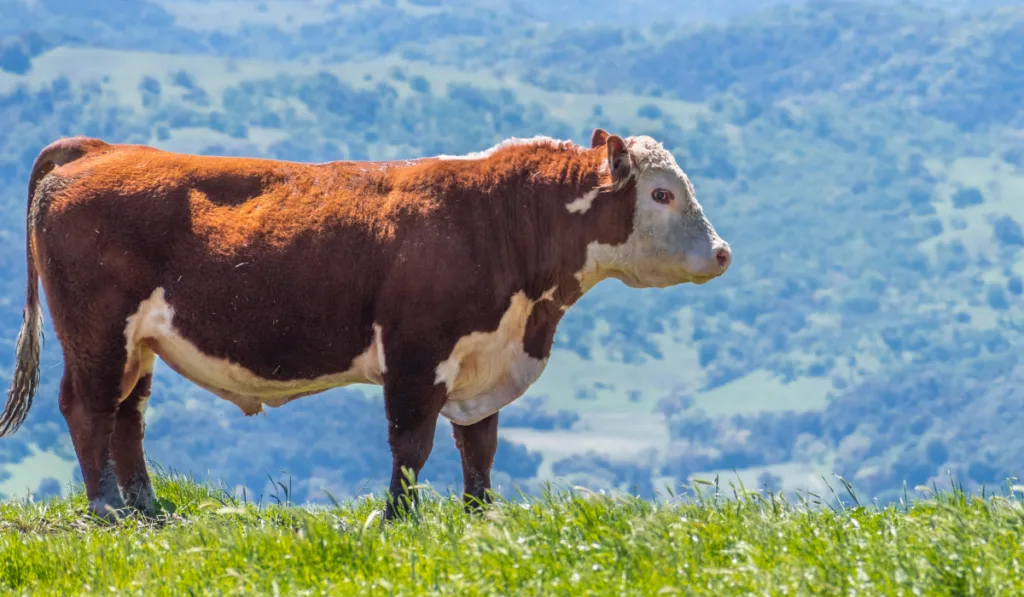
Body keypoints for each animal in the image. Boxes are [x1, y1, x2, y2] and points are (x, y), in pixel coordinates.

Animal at [0, 128, 733, 520]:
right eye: (662, 193)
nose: (723, 252)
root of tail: (100, 148)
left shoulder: (484, 361)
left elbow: (480, 445)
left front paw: (480, 515)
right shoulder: (416, 354)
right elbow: (412, 445)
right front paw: (398, 516)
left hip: (140, 341)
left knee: (128, 414)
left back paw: (146, 505)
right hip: (97, 330)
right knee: (88, 408)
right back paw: (106, 508)